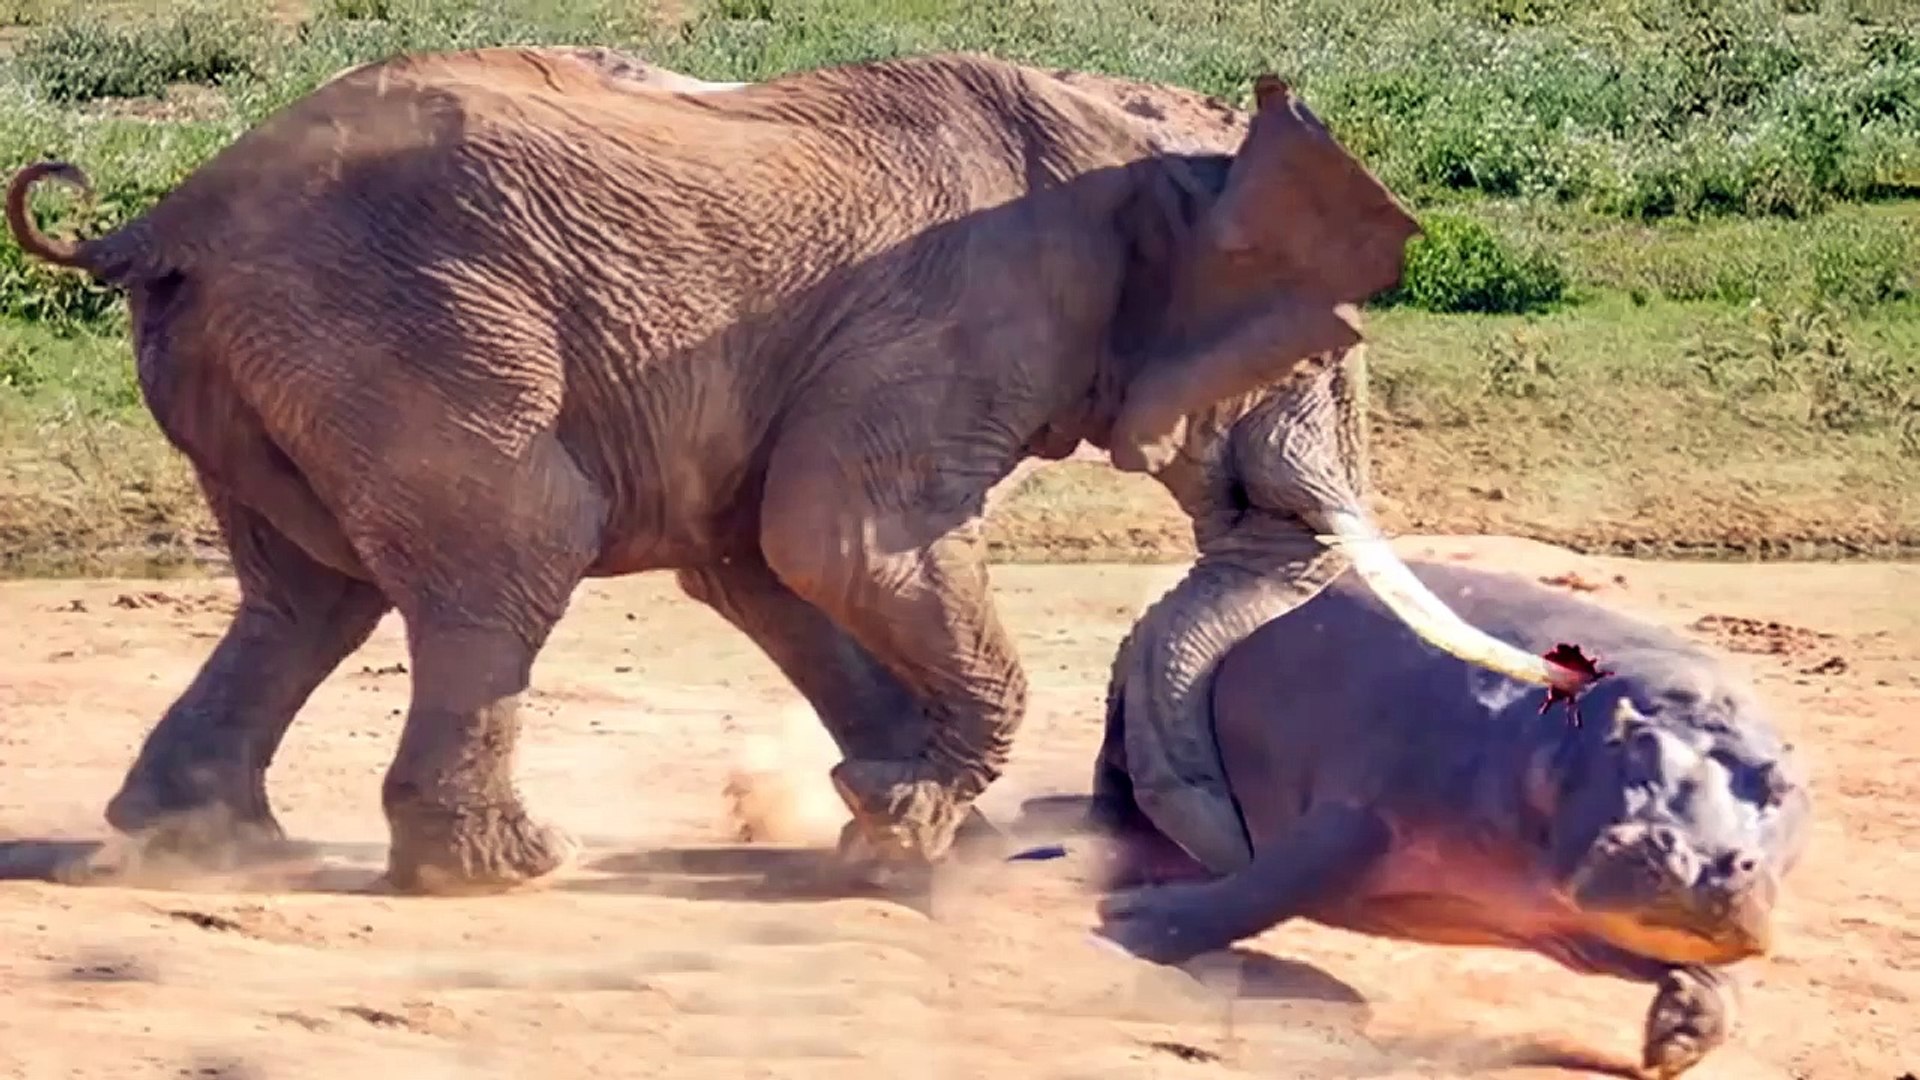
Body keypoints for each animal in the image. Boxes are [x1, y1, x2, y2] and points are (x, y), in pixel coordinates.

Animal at [5, 45, 1543, 896]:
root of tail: (164, 215)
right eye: (1325, 353)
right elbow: (842, 540)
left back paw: (209, 848)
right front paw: (902, 833)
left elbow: (765, 562)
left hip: (273, 357)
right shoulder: (964, 309)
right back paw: (505, 876)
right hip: (402, 328)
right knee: (513, 547)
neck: (1133, 138)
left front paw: (903, 822)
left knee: (310, 594)